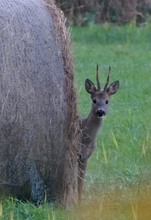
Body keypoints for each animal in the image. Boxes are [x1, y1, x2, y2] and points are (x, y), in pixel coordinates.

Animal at [78, 65, 119, 199]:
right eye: (94, 100)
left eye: (107, 101)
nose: (100, 111)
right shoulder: (79, 155)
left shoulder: (86, 157)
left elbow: (80, 182)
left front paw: (79, 199)